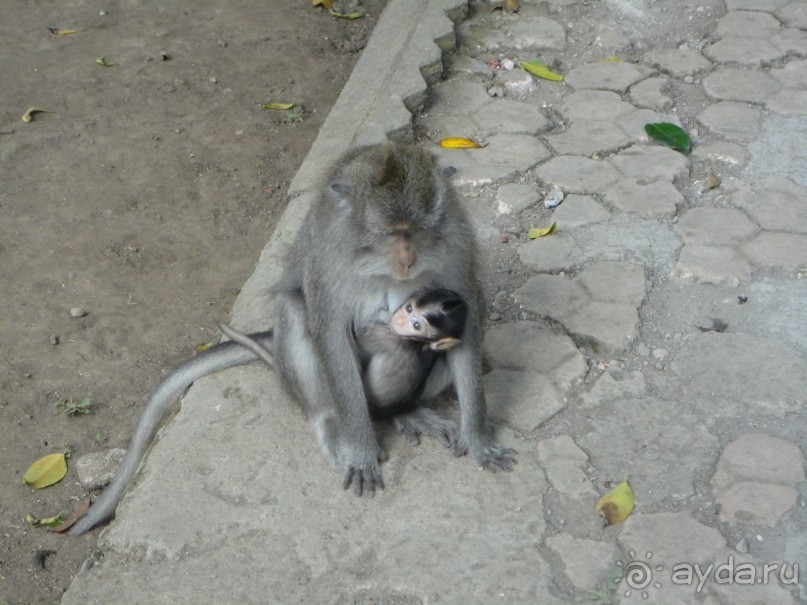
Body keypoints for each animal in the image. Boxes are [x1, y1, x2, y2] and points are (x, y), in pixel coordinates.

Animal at [71, 144, 516, 536]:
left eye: (419, 231)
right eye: (391, 233)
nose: (408, 259)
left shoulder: (457, 245)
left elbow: (467, 320)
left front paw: (478, 438)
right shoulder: (328, 258)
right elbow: (329, 329)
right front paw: (360, 449)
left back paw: (407, 412)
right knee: (296, 313)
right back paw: (335, 423)